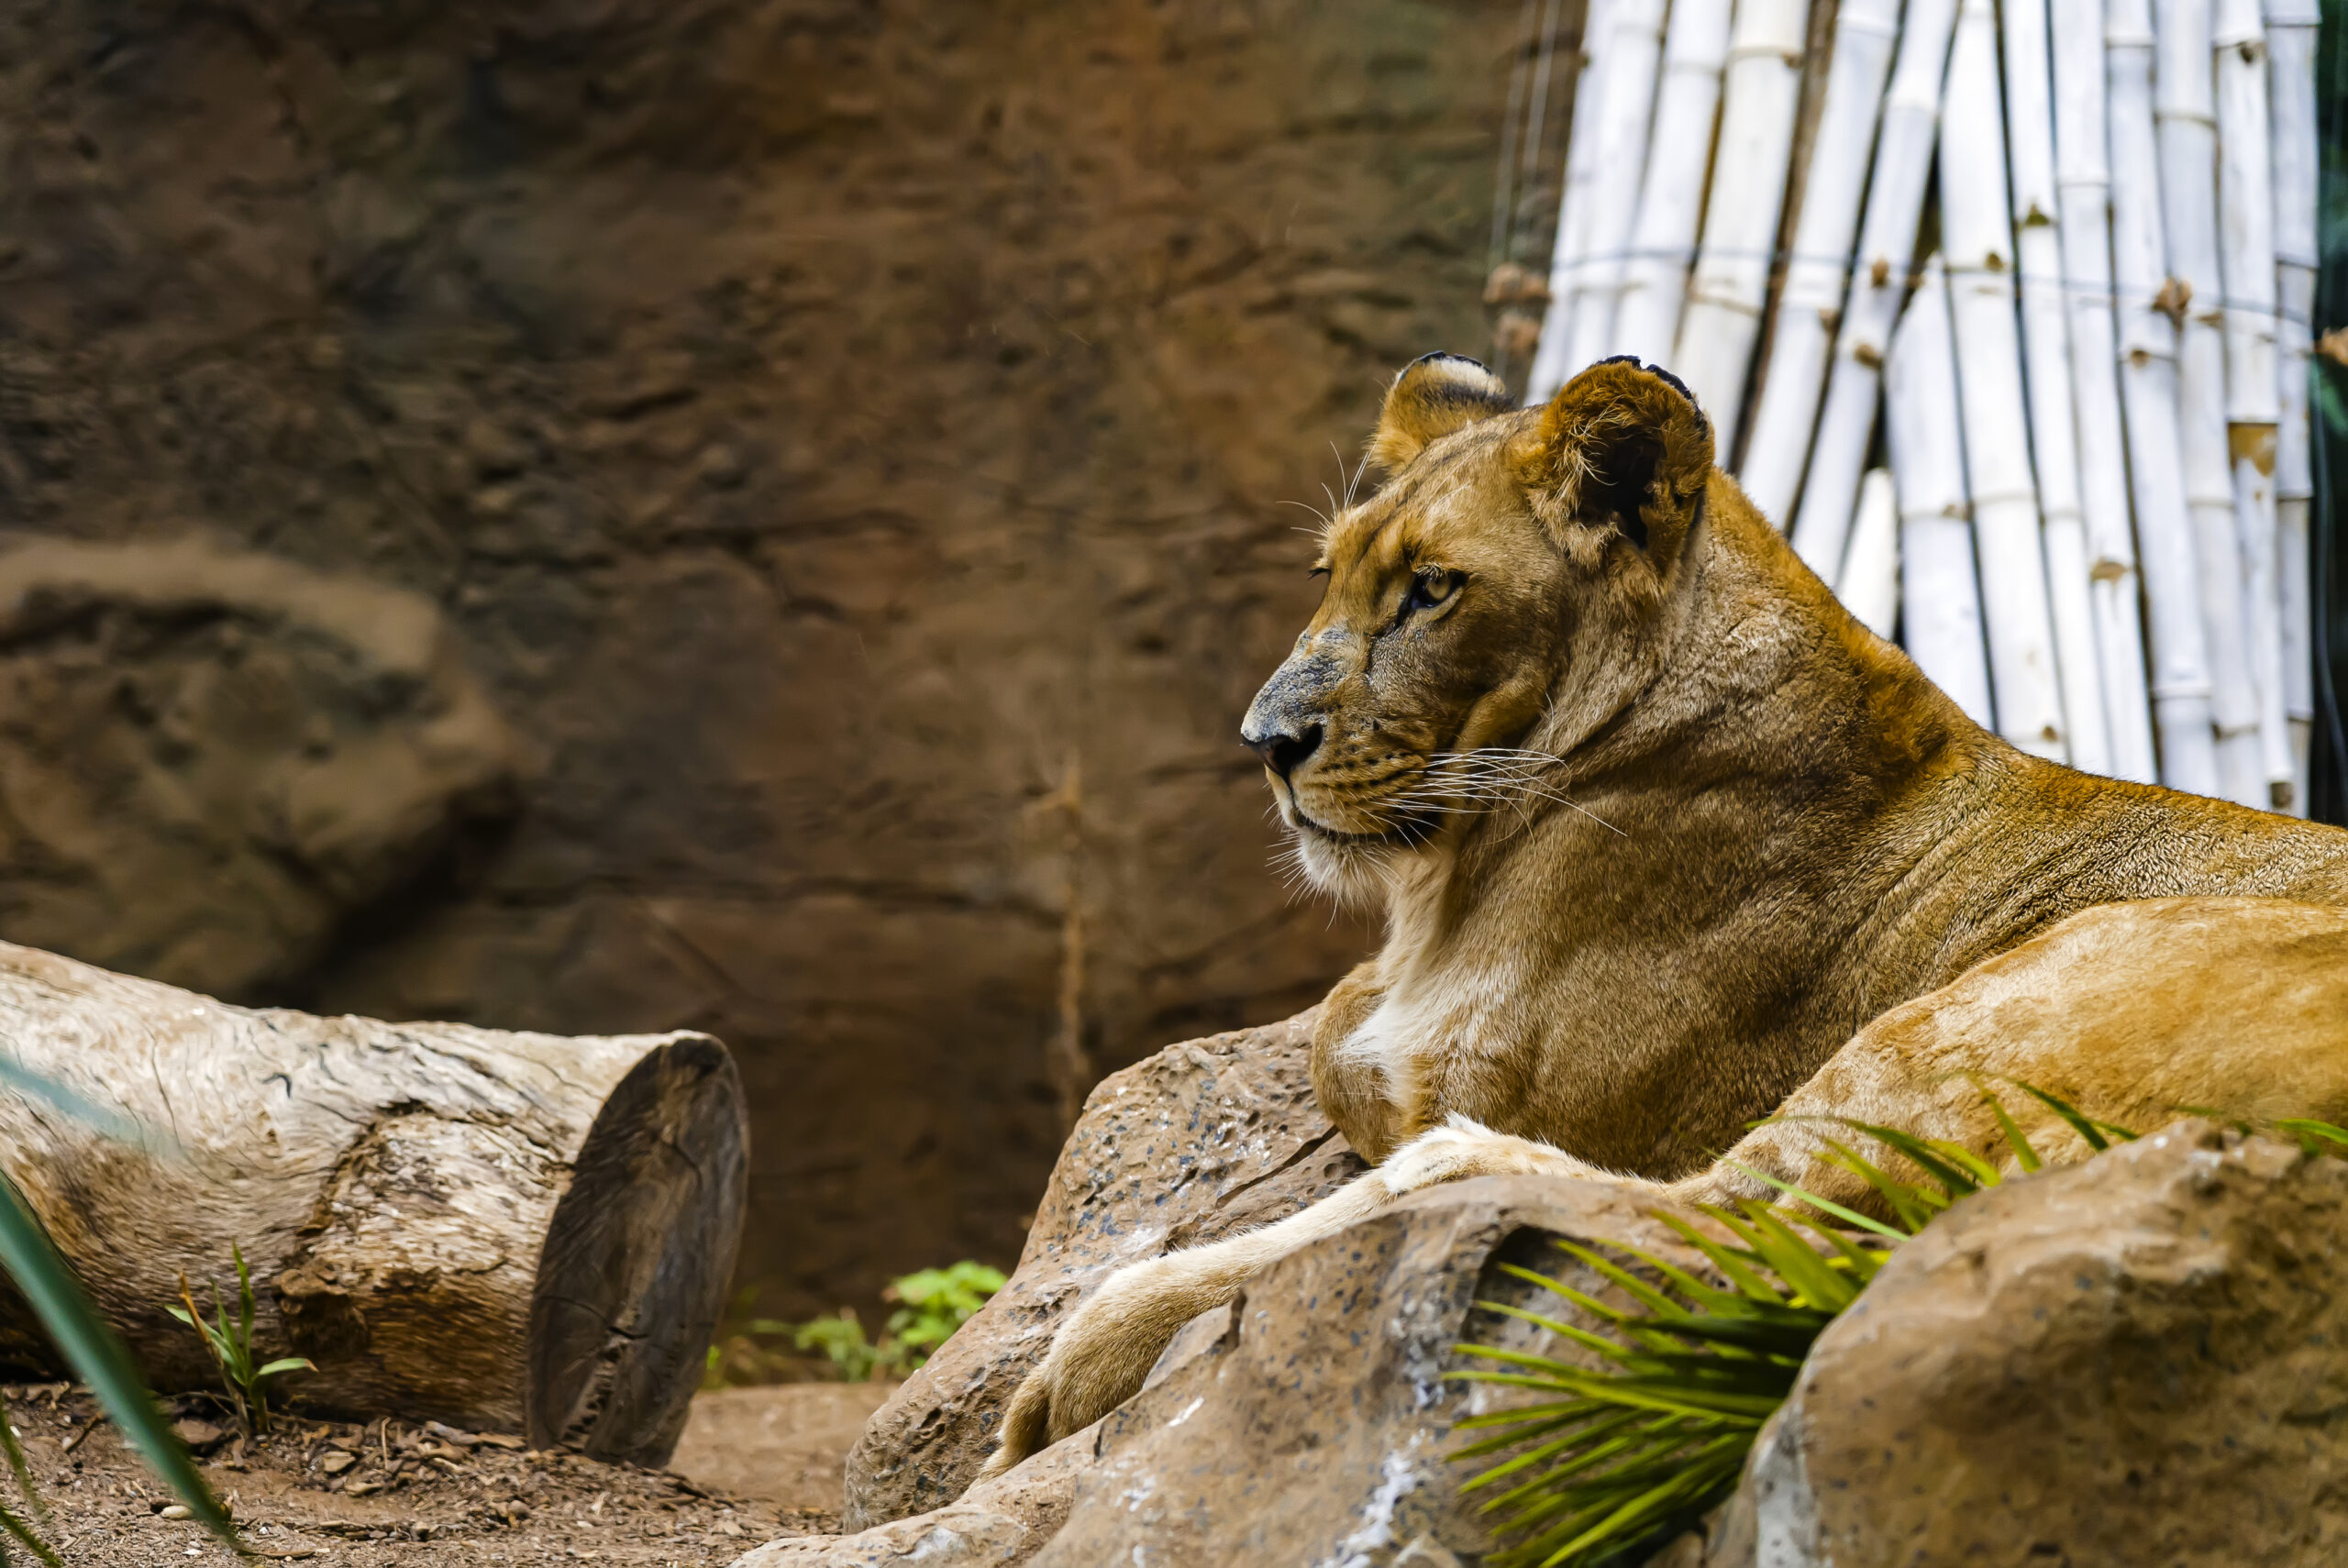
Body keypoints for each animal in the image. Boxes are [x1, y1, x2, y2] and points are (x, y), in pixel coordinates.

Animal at [976, 354, 2348, 1480]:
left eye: (1432, 589)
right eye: (1333, 578)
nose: (1264, 743)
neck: (1451, 882)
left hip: (2012, 997)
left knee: (1629, 1210)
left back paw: (1084, 1352)